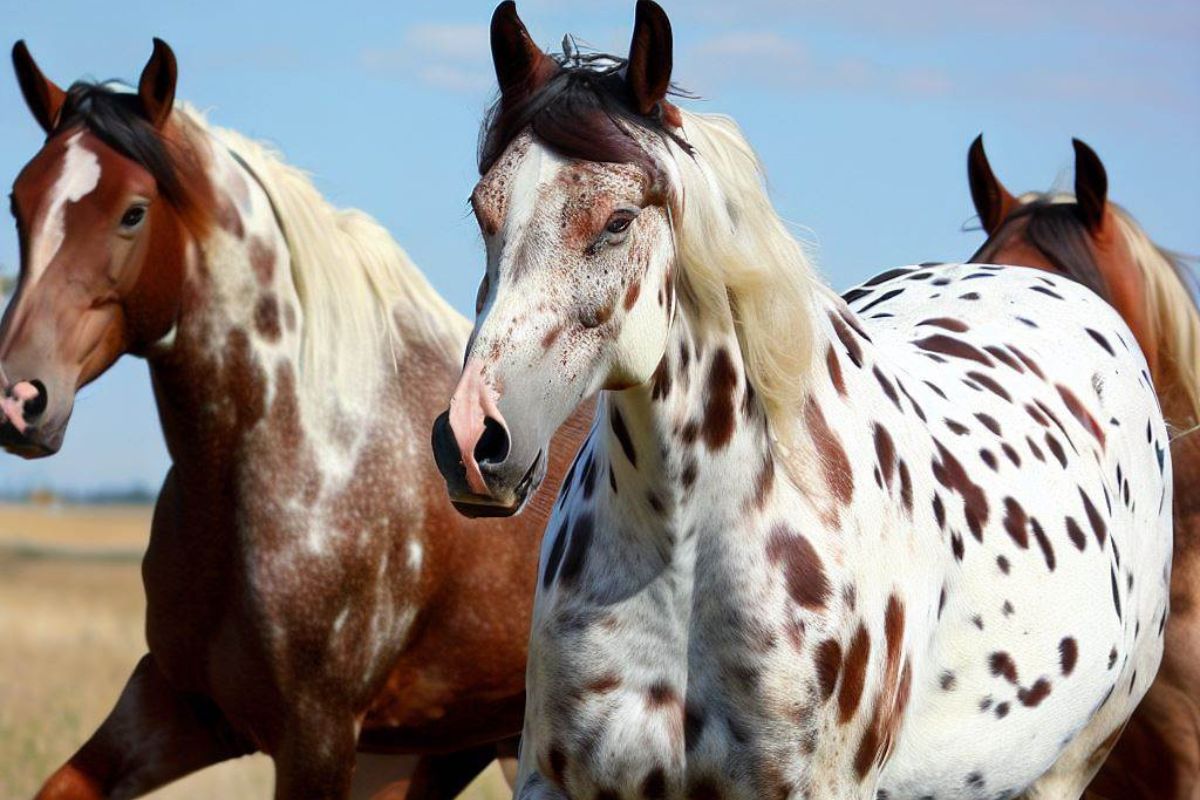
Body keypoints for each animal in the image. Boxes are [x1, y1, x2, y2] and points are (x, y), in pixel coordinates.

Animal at [429, 3, 1171, 796]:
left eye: (619, 219)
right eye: (483, 210)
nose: (471, 440)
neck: (683, 558)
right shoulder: (557, 776)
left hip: (1067, 766)